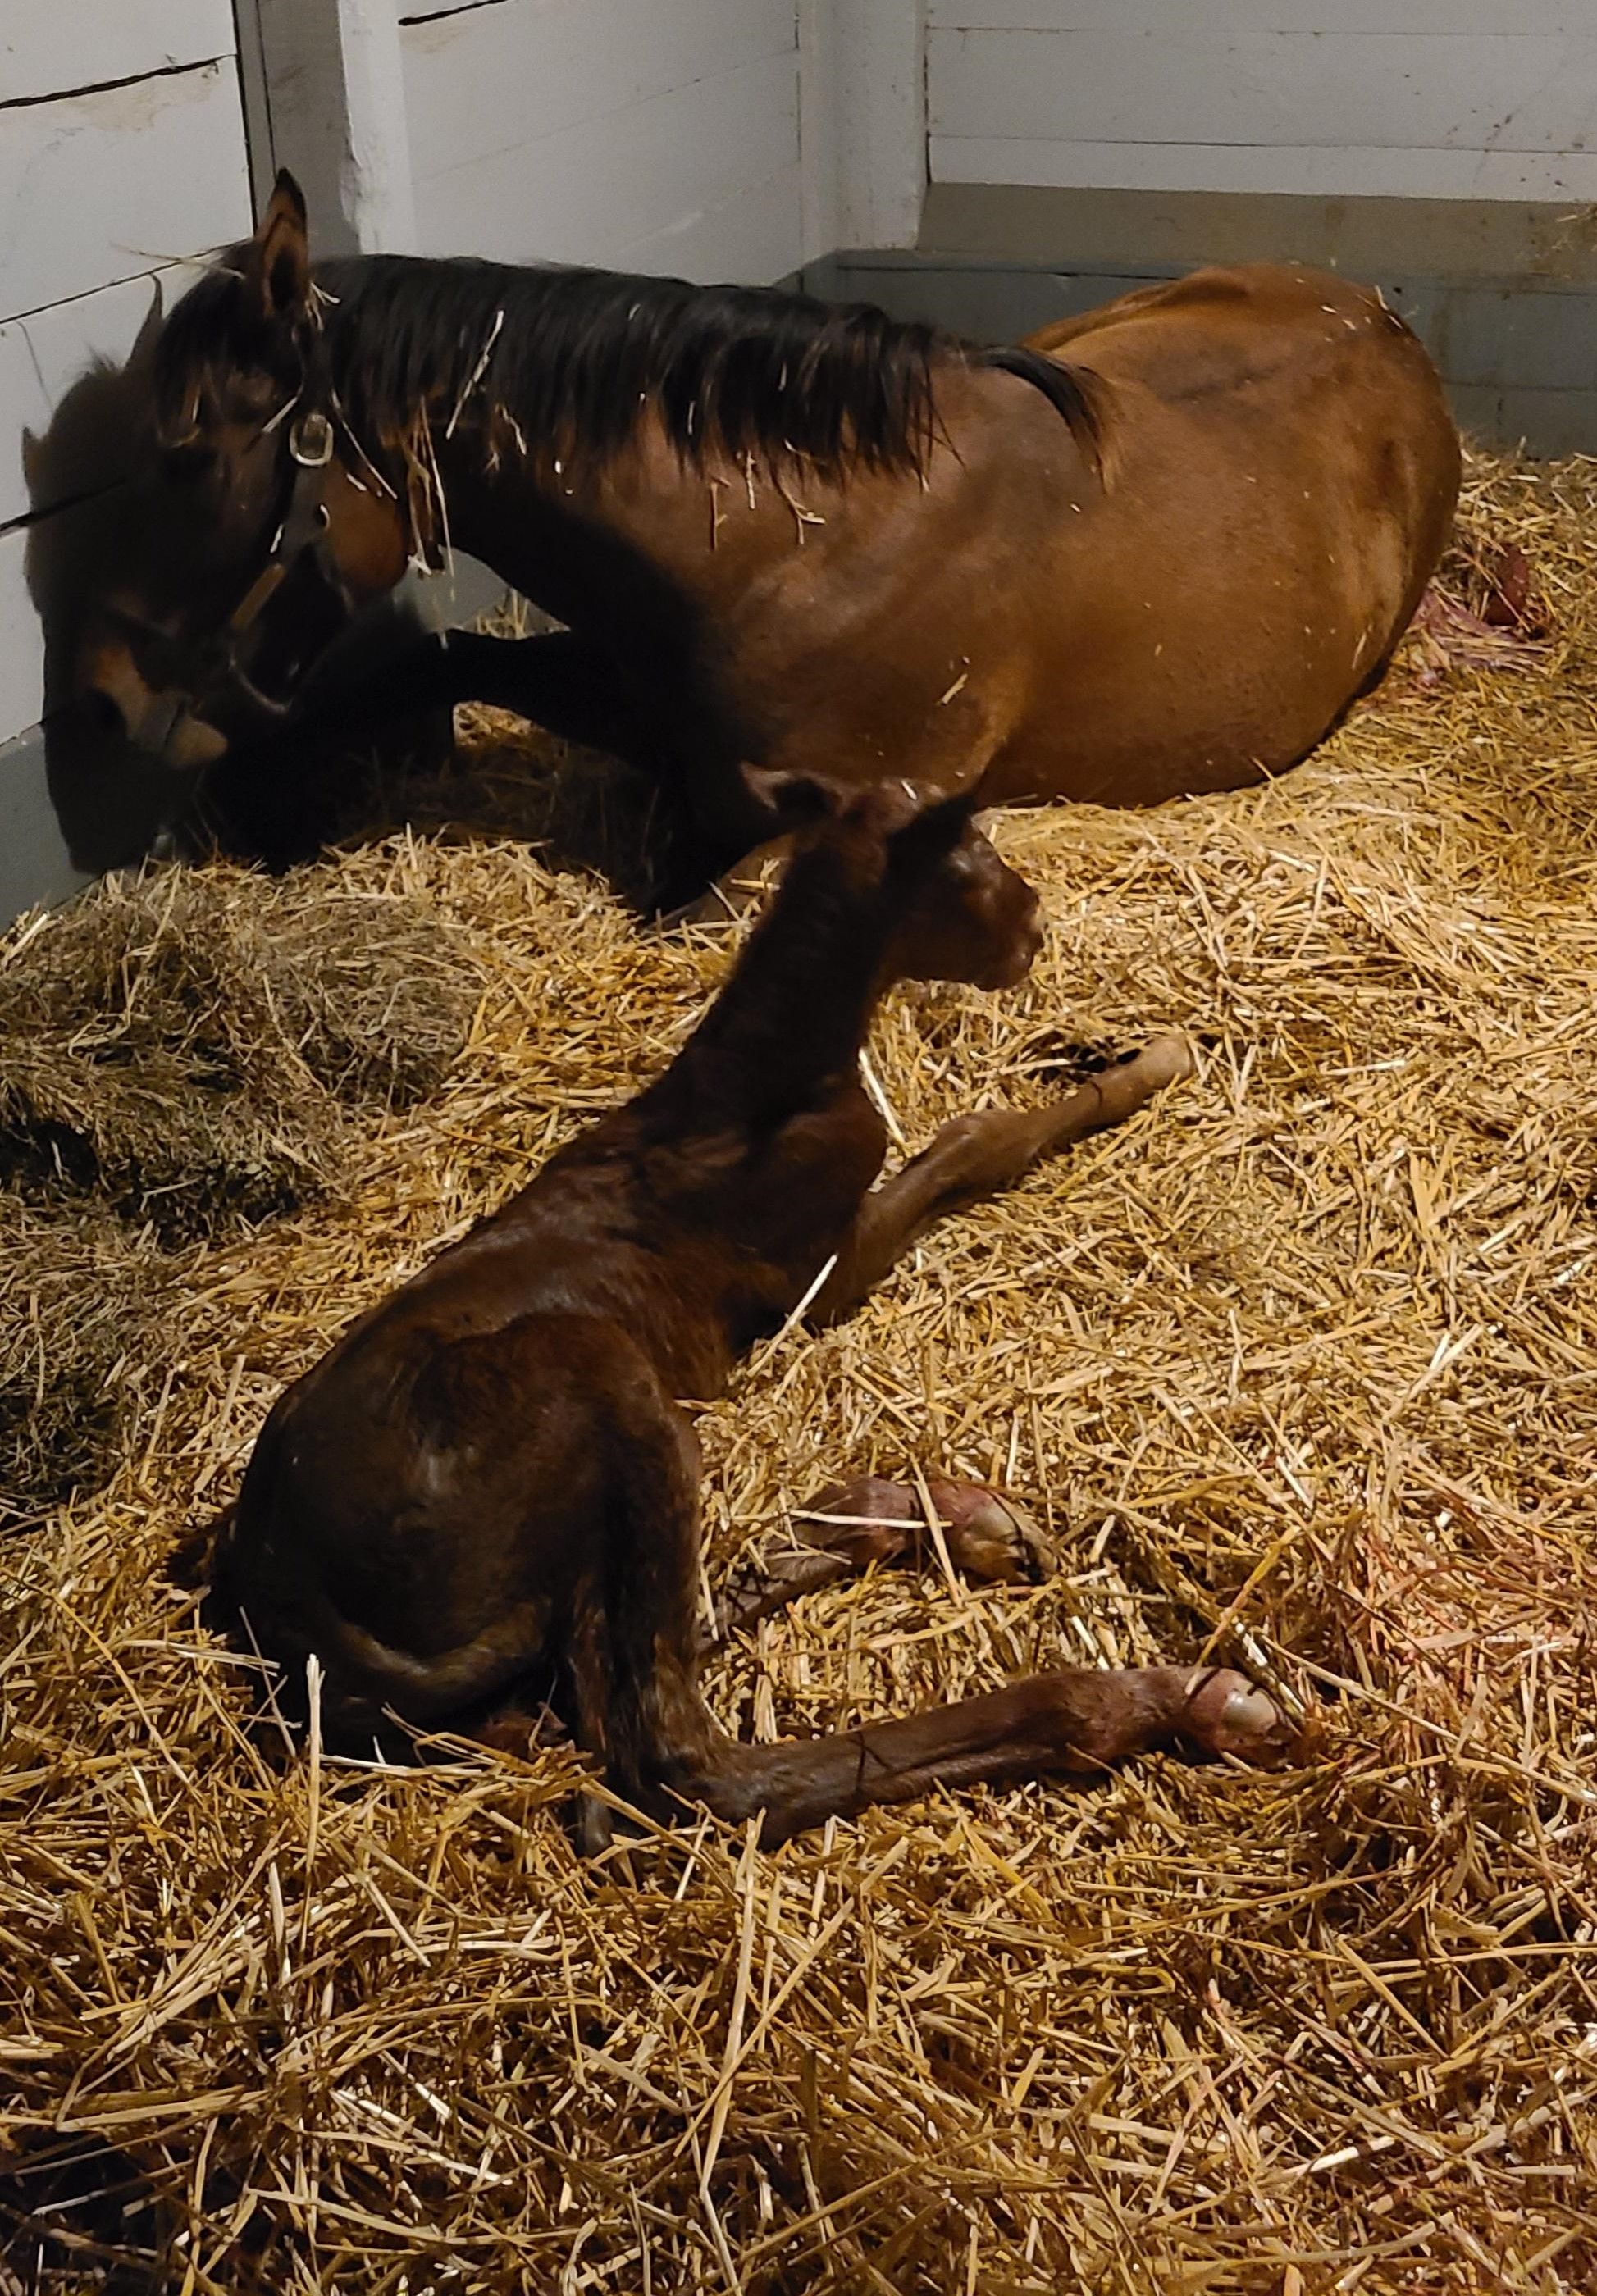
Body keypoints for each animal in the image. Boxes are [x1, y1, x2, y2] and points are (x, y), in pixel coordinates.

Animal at [225, 790, 1296, 1846]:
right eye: (976, 861)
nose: (1034, 925)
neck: (761, 1087)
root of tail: (281, 1587)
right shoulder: (827, 1268)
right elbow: (979, 1138)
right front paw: (1157, 1059)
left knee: (617, 1654)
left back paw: (957, 1521)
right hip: (596, 1366)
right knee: (673, 1751)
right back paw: (1156, 1695)